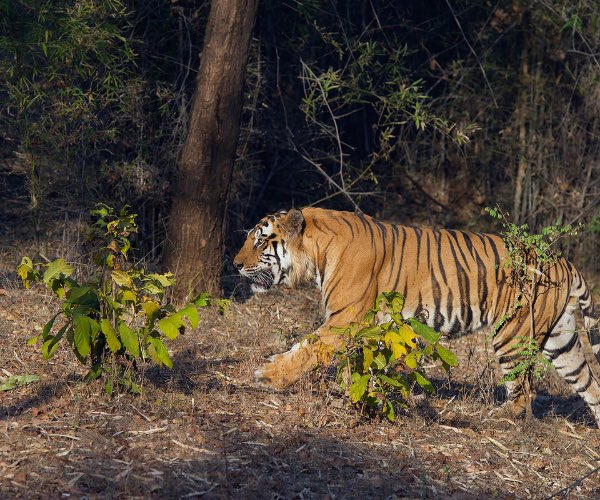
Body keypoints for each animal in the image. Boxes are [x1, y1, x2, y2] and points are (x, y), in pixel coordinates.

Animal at [233, 207, 600, 427]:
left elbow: (308, 350)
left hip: (513, 335)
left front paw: (268, 376)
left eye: (260, 241)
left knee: (525, 392)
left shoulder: (346, 318)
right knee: (590, 385)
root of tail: (563, 261)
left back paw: (494, 419)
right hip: (561, 341)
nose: (235, 264)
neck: (317, 254)